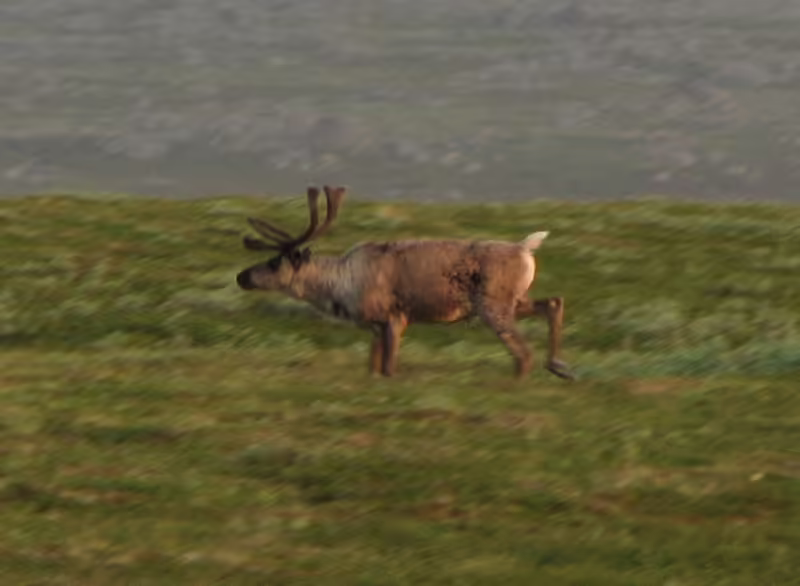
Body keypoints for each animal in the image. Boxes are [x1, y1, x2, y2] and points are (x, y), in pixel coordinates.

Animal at [235, 185, 574, 380]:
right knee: (553, 302)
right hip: (516, 301)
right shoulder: (373, 326)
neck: (343, 285)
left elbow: (389, 368)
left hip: (494, 306)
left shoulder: (394, 317)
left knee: (524, 352)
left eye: (275, 262)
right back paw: (558, 367)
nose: (242, 276)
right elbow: (373, 369)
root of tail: (525, 249)